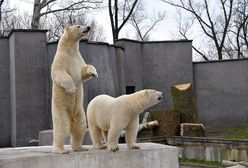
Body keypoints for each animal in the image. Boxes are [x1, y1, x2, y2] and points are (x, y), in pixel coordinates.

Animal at [50, 25, 98, 154]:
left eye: (81, 24)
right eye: (78, 26)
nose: (88, 27)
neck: (70, 50)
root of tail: (71, 117)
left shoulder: (78, 59)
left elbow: (84, 70)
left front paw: (94, 73)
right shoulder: (61, 59)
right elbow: (60, 73)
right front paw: (72, 90)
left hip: (79, 111)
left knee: (80, 126)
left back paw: (80, 147)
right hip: (60, 109)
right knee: (62, 127)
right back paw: (60, 150)